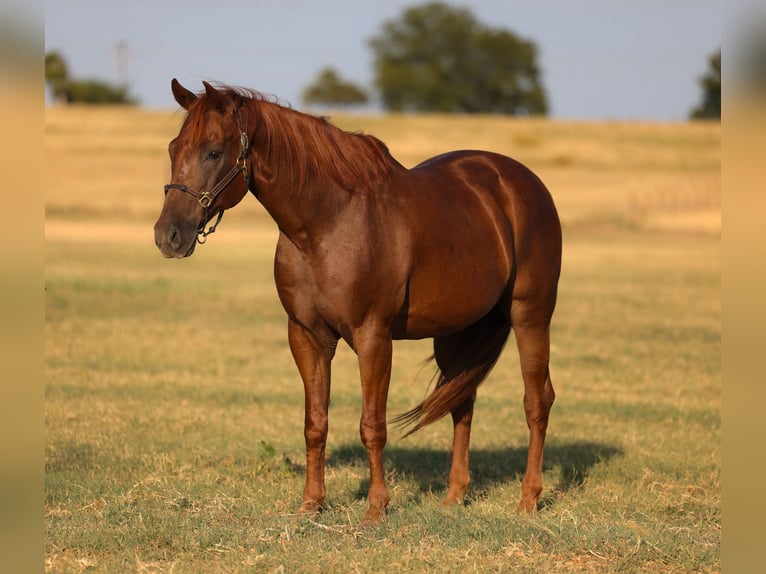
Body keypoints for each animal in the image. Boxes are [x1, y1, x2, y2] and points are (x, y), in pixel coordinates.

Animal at [154, 79, 562, 524]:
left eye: (213, 151)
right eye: (174, 148)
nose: (168, 235)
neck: (327, 224)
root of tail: (523, 182)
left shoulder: (372, 338)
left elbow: (372, 424)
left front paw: (376, 508)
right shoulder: (307, 337)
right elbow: (315, 423)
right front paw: (311, 504)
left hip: (530, 316)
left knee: (537, 401)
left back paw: (529, 499)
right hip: (455, 332)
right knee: (461, 401)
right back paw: (454, 496)